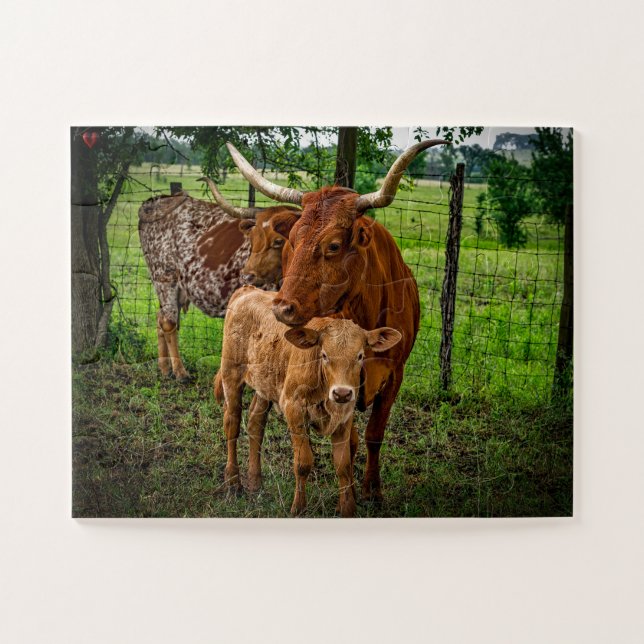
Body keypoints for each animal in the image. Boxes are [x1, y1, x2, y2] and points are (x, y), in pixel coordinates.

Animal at [138, 178, 299, 381]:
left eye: (278, 240)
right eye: (252, 240)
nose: (247, 275)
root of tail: (155, 201)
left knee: (161, 317)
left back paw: (165, 368)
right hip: (164, 276)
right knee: (169, 321)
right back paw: (180, 372)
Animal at [214, 286, 401, 517]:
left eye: (360, 356)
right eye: (324, 355)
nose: (341, 393)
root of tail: (247, 290)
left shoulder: (344, 418)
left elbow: (343, 465)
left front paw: (348, 509)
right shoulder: (294, 410)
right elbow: (303, 462)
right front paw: (298, 508)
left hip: (265, 384)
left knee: (255, 424)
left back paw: (255, 482)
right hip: (231, 374)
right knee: (232, 425)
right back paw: (233, 482)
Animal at [223, 138, 448, 501]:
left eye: (333, 245)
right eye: (291, 242)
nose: (281, 308)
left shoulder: (394, 375)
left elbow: (374, 434)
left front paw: (373, 491)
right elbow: (352, 441)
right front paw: (353, 491)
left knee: (256, 415)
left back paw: (255, 481)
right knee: (235, 417)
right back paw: (234, 481)